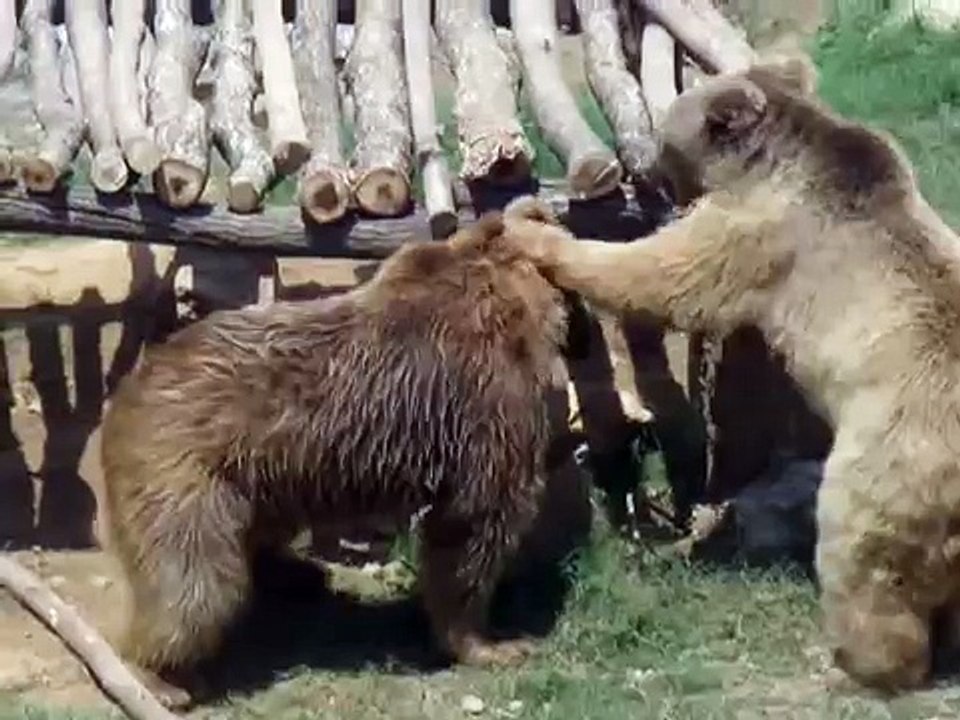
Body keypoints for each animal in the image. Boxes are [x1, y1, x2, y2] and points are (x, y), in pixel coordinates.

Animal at [99, 210, 576, 707]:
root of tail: (126, 392)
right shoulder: (485, 408)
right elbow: (475, 525)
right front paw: (491, 643)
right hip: (185, 472)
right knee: (195, 583)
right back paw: (161, 677)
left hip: (260, 479)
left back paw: (298, 576)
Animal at [499, 54, 960, 692]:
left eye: (665, 137)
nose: (651, 172)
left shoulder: (758, 230)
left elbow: (662, 273)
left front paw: (534, 232)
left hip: (892, 458)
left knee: (864, 556)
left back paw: (859, 661)